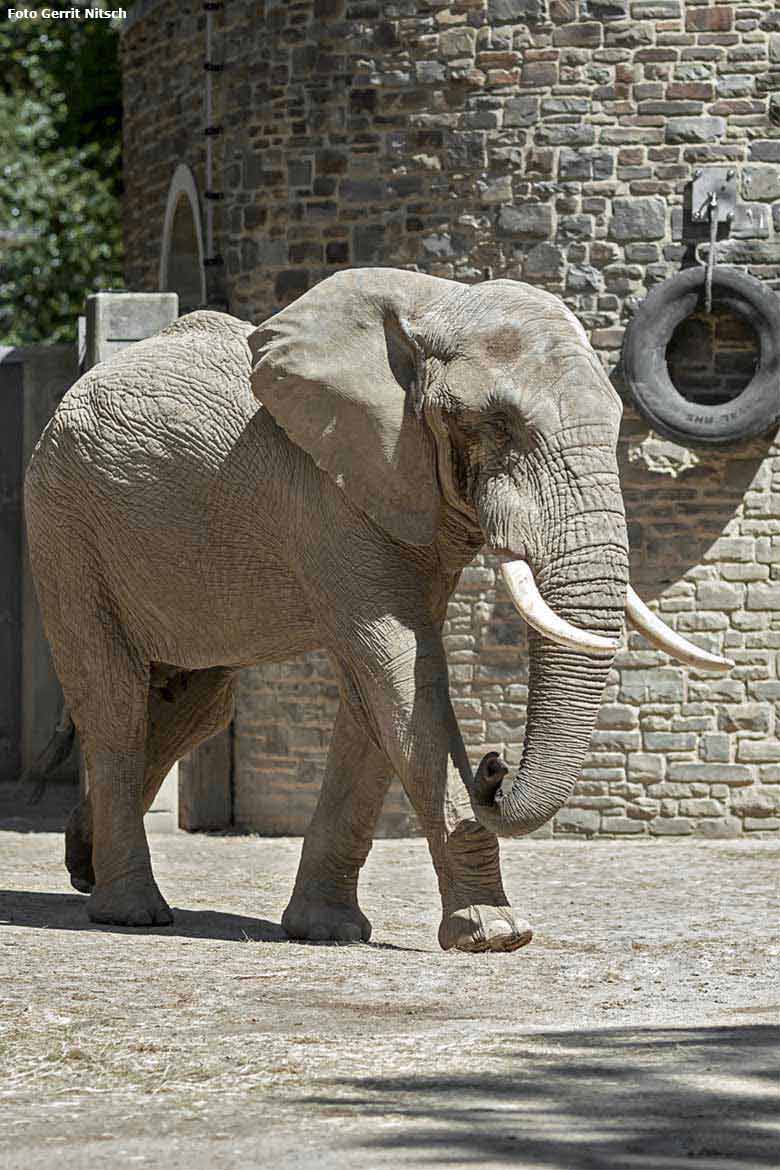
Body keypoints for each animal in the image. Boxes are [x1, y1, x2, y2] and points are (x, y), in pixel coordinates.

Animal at [25, 271, 734, 950]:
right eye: (499, 424)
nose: (495, 766)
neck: (437, 308)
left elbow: (375, 696)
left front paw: (329, 932)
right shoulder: (326, 493)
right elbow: (402, 667)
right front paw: (496, 937)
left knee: (194, 704)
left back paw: (83, 863)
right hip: (63, 525)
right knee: (114, 701)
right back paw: (130, 913)